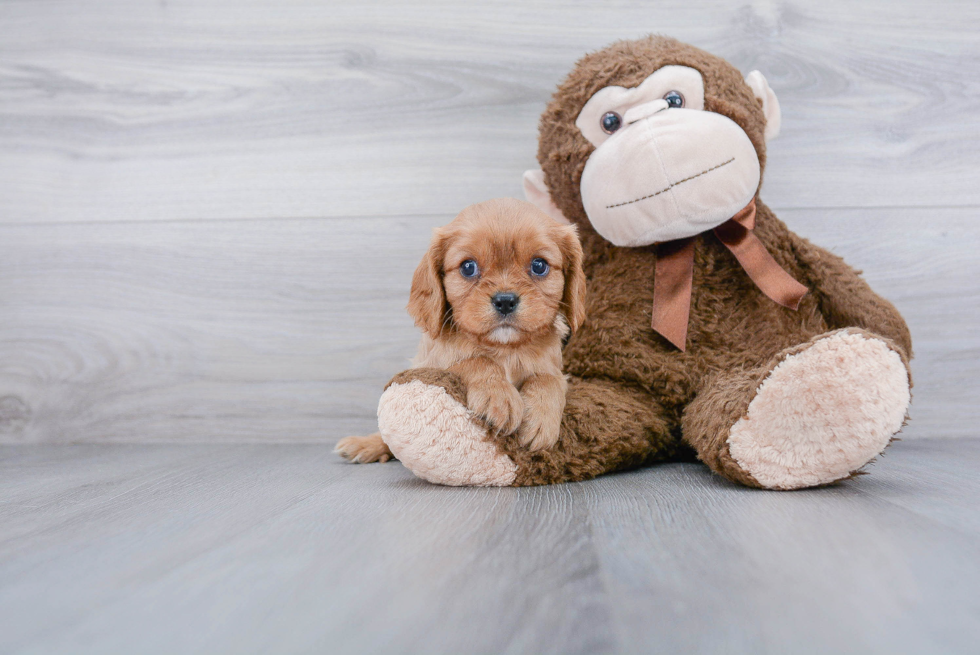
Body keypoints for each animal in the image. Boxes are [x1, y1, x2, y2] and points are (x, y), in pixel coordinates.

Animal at [334, 197, 584, 464]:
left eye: (539, 266)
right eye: (468, 267)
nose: (505, 301)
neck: (504, 349)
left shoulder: (556, 371)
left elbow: (548, 380)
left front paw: (540, 419)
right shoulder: (433, 366)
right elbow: (477, 361)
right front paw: (499, 397)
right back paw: (366, 445)